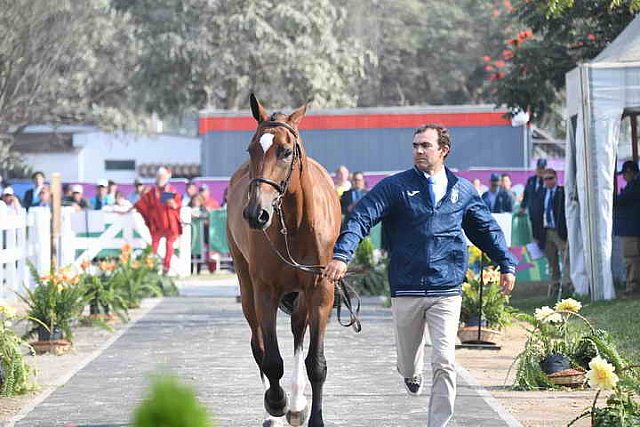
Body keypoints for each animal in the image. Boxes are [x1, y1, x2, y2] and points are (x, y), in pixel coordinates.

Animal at [228, 94, 342, 427]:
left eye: (286, 151)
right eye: (251, 148)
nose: (256, 213)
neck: (295, 223)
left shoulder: (321, 290)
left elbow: (315, 362)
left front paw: (311, 416)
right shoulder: (265, 290)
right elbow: (271, 360)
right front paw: (276, 403)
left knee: (297, 333)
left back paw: (297, 404)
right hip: (247, 286)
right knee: (259, 346)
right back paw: (275, 411)